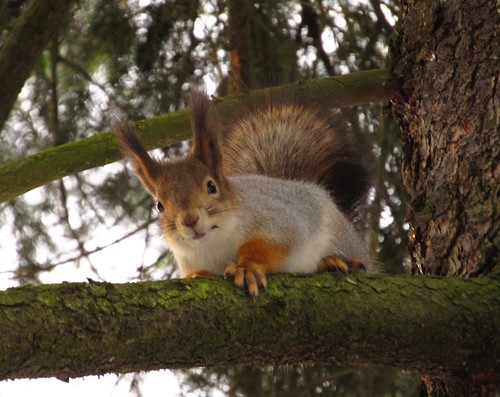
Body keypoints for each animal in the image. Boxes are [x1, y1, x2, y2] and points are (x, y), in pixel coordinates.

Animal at [116, 89, 376, 294]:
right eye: (159, 205)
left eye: (211, 186)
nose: (189, 219)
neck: (215, 244)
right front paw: (199, 276)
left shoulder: (279, 223)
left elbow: (271, 246)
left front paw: (247, 267)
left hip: (341, 237)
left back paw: (335, 262)